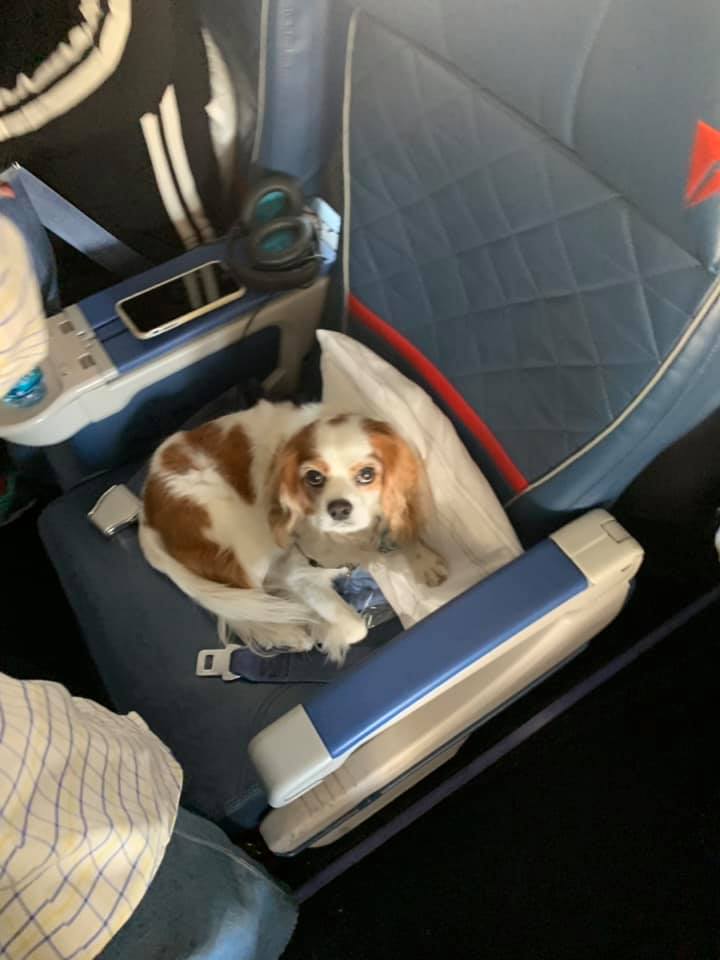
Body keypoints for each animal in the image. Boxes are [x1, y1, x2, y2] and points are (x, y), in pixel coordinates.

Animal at [138, 402, 448, 664]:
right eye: (314, 477)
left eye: (367, 474)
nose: (338, 509)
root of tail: (147, 507)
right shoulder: (299, 571)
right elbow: (356, 627)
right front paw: (324, 630)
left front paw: (423, 560)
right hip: (246, 542)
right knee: (242, 605)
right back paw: (283, 632)